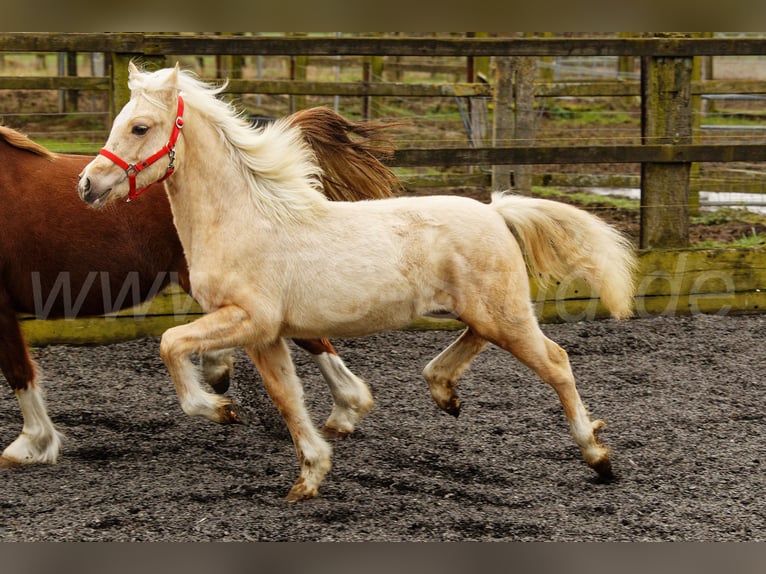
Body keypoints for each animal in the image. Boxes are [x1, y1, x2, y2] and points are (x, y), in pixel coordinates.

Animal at [79, 64, 640, 504]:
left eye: (140, 127)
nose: (88, 184)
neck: (245, 217)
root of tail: (495, 210)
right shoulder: (265, 335)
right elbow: (287, 398)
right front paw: (309, 475)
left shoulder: (249, 320)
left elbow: (171, 343)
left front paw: (220, 409)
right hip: (482, 311)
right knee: (474, 343)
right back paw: (445, 392)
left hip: (506, 314)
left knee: (557, 363)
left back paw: (597, 455)